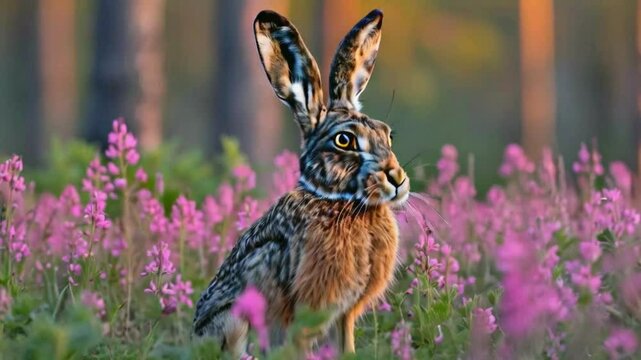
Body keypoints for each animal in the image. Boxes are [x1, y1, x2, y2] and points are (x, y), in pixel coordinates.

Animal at [191, 8, 410, 358]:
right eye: (344, 141)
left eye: (388, 135)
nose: (398, 179)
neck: (341, 201)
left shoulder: (344, 314)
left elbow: (344, 342)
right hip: (235, 320)